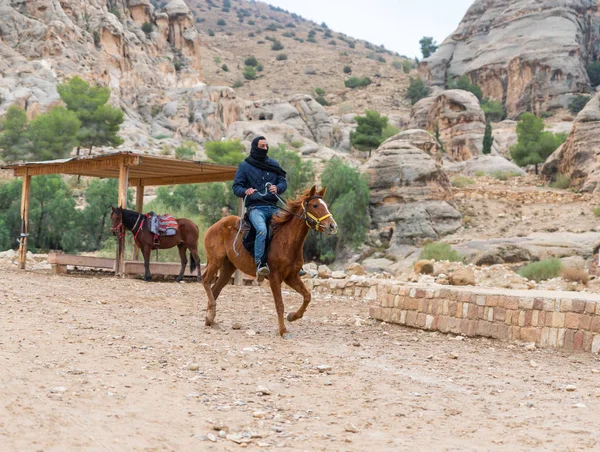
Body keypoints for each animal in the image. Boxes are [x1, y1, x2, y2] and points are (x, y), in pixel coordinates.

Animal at [203, 185, 338, 338]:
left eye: (325, 205)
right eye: (315, 205)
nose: (332, 226)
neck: (285, 240)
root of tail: (215, 226)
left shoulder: (291, 277)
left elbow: (307, 296)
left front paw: (292, 316)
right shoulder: (275, 277)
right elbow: (280, 304)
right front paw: (283, 330)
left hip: (228, 267)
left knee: (215, 289)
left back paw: (210, 319)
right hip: (215, 261)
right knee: (206, 281)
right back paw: (211, 313)